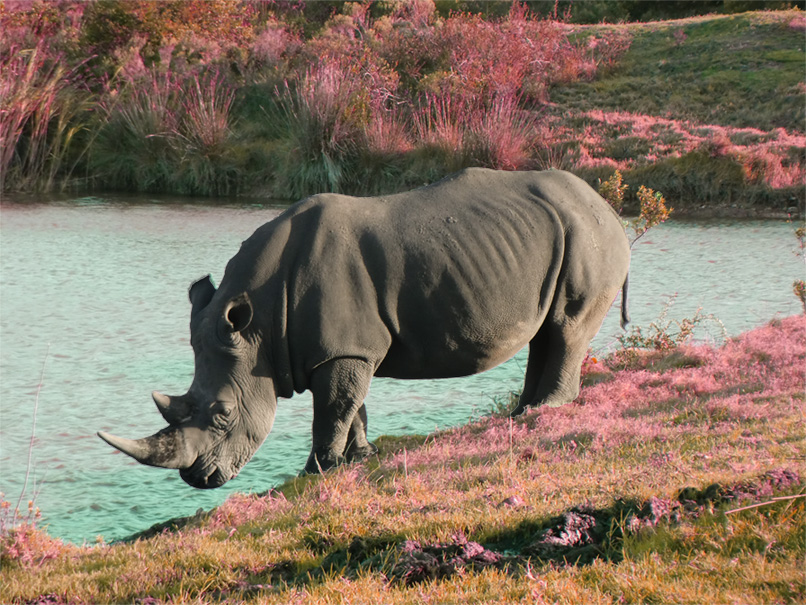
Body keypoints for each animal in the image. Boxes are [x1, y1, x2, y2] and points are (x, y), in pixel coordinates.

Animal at [98, 168, 630, 488]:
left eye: (224, 414)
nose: (199, 479)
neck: (259, 325)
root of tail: (606, 203)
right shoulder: (344, 347)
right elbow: (351, 405)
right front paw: (358, 458)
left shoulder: (343, 349)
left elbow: (333, 407)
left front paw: (314, 472)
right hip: (561, 233)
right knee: (547, 330)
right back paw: (523, 412)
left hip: (589, 235)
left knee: (565, 326)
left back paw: (546, 409)